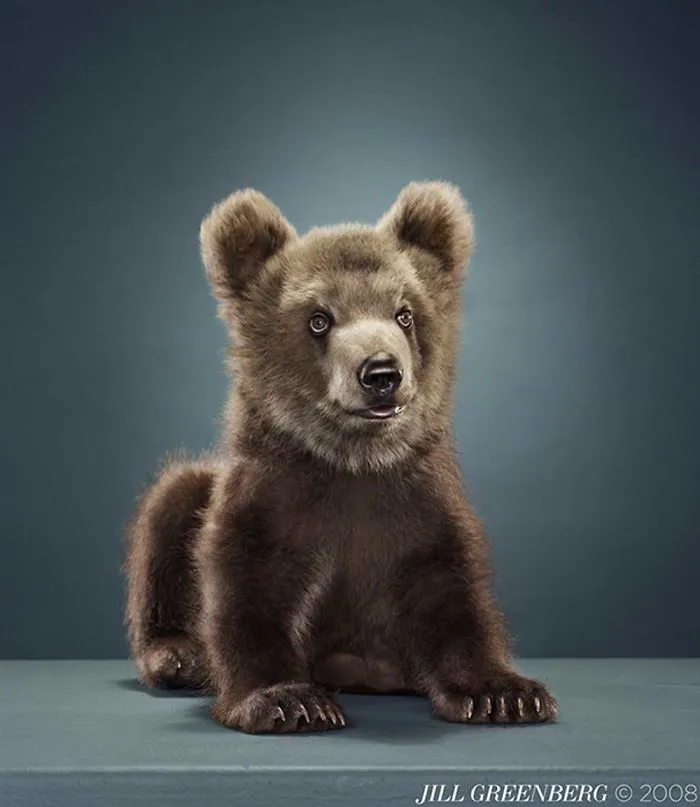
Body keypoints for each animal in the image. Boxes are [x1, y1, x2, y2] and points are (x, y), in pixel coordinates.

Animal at [123, 181, 558, 733]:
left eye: (404, 313)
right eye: (318, 319)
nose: (382, 372)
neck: (355, 461)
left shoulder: (417, 502)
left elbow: (451, 591)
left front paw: (505, 693)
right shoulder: (275, 496)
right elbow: (246, 587)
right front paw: (287, 700)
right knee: (172, 503)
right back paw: (180, 654)